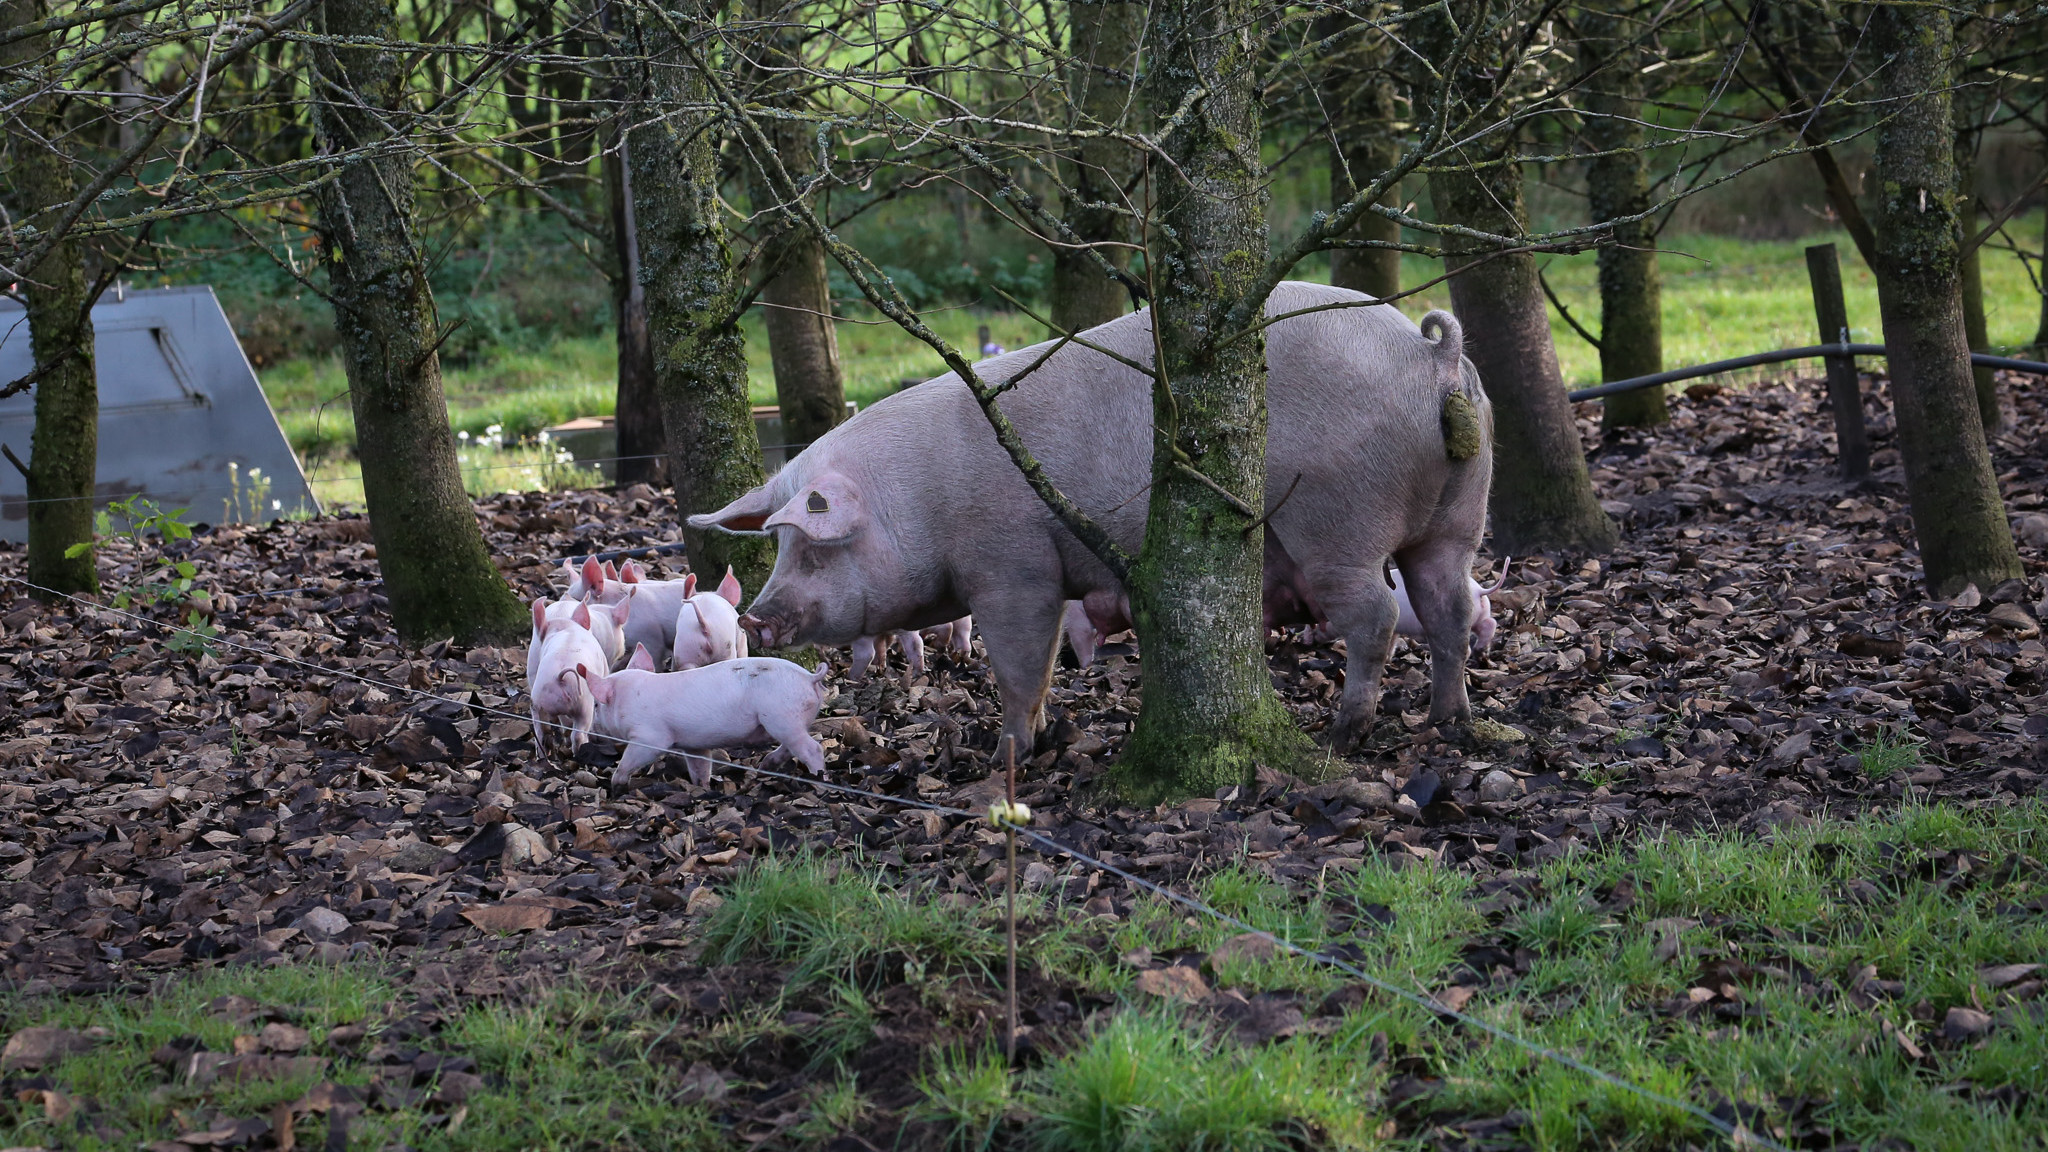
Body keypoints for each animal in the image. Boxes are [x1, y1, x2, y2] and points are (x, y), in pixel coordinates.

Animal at [688, 282, 1490, 758]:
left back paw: (1345, 734)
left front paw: (1010, 752)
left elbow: (1020, 664)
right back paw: (1447, 718)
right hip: (1458, 517)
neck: (914, 500)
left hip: (1339, 523)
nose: (756, 617)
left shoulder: (1014, 566)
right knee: (1447, 607)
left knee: (1377, 616)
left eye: (814, 549)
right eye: (779, 542)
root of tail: (1431, 355)